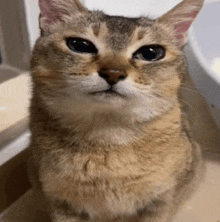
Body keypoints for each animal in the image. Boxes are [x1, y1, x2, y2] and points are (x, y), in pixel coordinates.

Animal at [28, 0, 205, 220]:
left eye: (151, 53)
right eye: (80, 45)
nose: (113, 73)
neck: (108, 137)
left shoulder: (160, 202)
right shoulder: (60, 204)